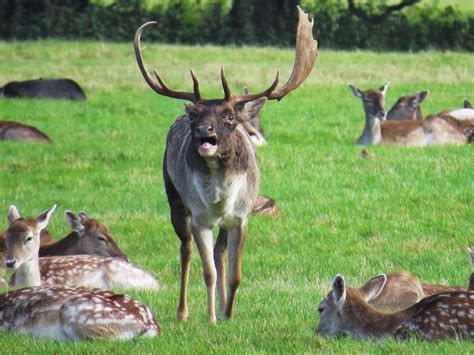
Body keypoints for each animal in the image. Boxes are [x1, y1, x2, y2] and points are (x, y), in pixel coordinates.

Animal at [133, 5, 318, 322]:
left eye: (230, 116)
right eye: (196, 114)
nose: (203, 132)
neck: (219, 199)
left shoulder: (242, 218)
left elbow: (234, 274)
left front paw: (228, 313)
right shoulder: (199, 218)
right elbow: (207, 272)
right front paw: (210, 318)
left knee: (219, 253)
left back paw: (221, 305)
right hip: (174, 197)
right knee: (186, 250)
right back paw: (183, 312)